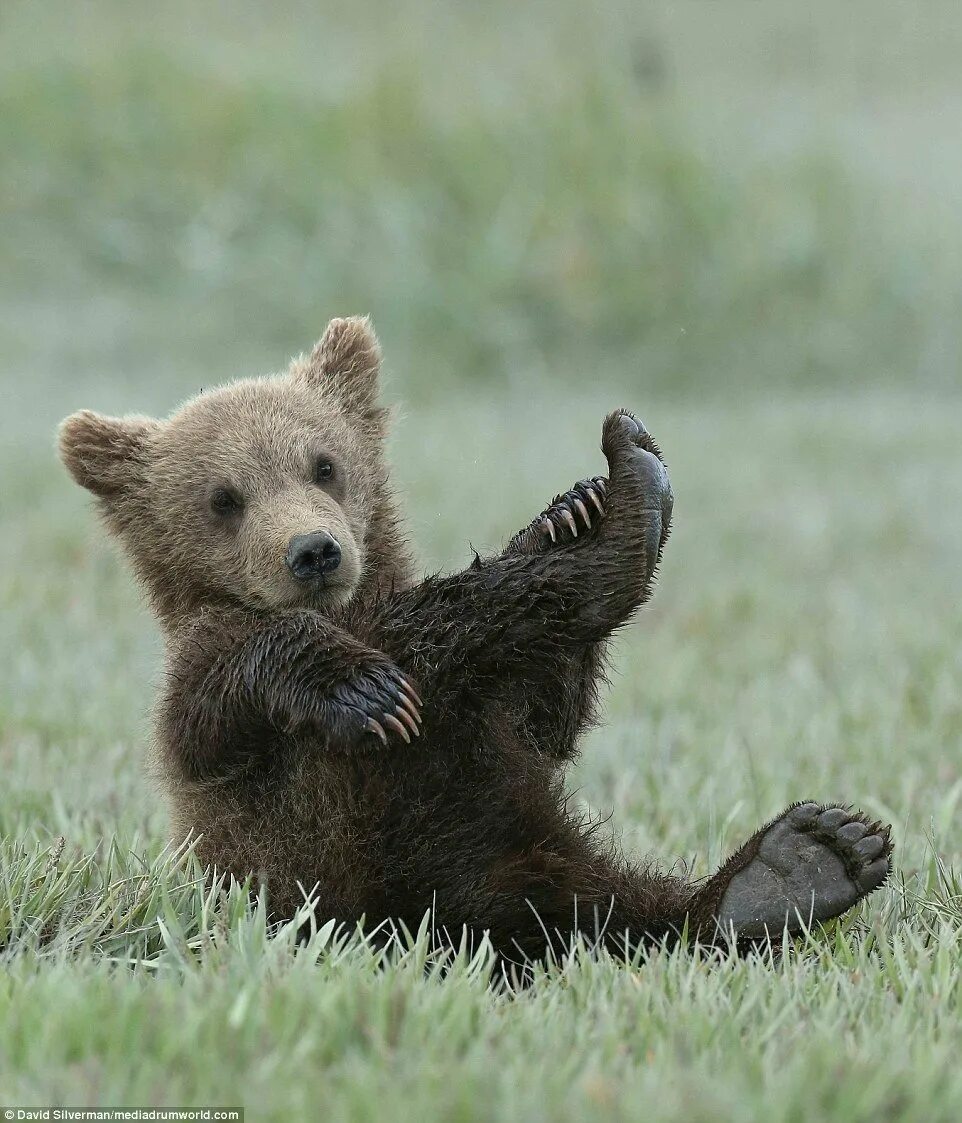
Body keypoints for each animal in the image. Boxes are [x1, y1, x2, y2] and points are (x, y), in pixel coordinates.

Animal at [60, 316, 893, 965]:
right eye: (224, 498)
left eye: (323, 464)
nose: (314, 551)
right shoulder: (208, 712)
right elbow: (230, 684)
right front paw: (364, 688)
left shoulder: (500, 722)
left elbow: (546, 719)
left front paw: (566, 509)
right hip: (331, 853)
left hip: (514, 848)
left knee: (615, 908)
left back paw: (803, 862)